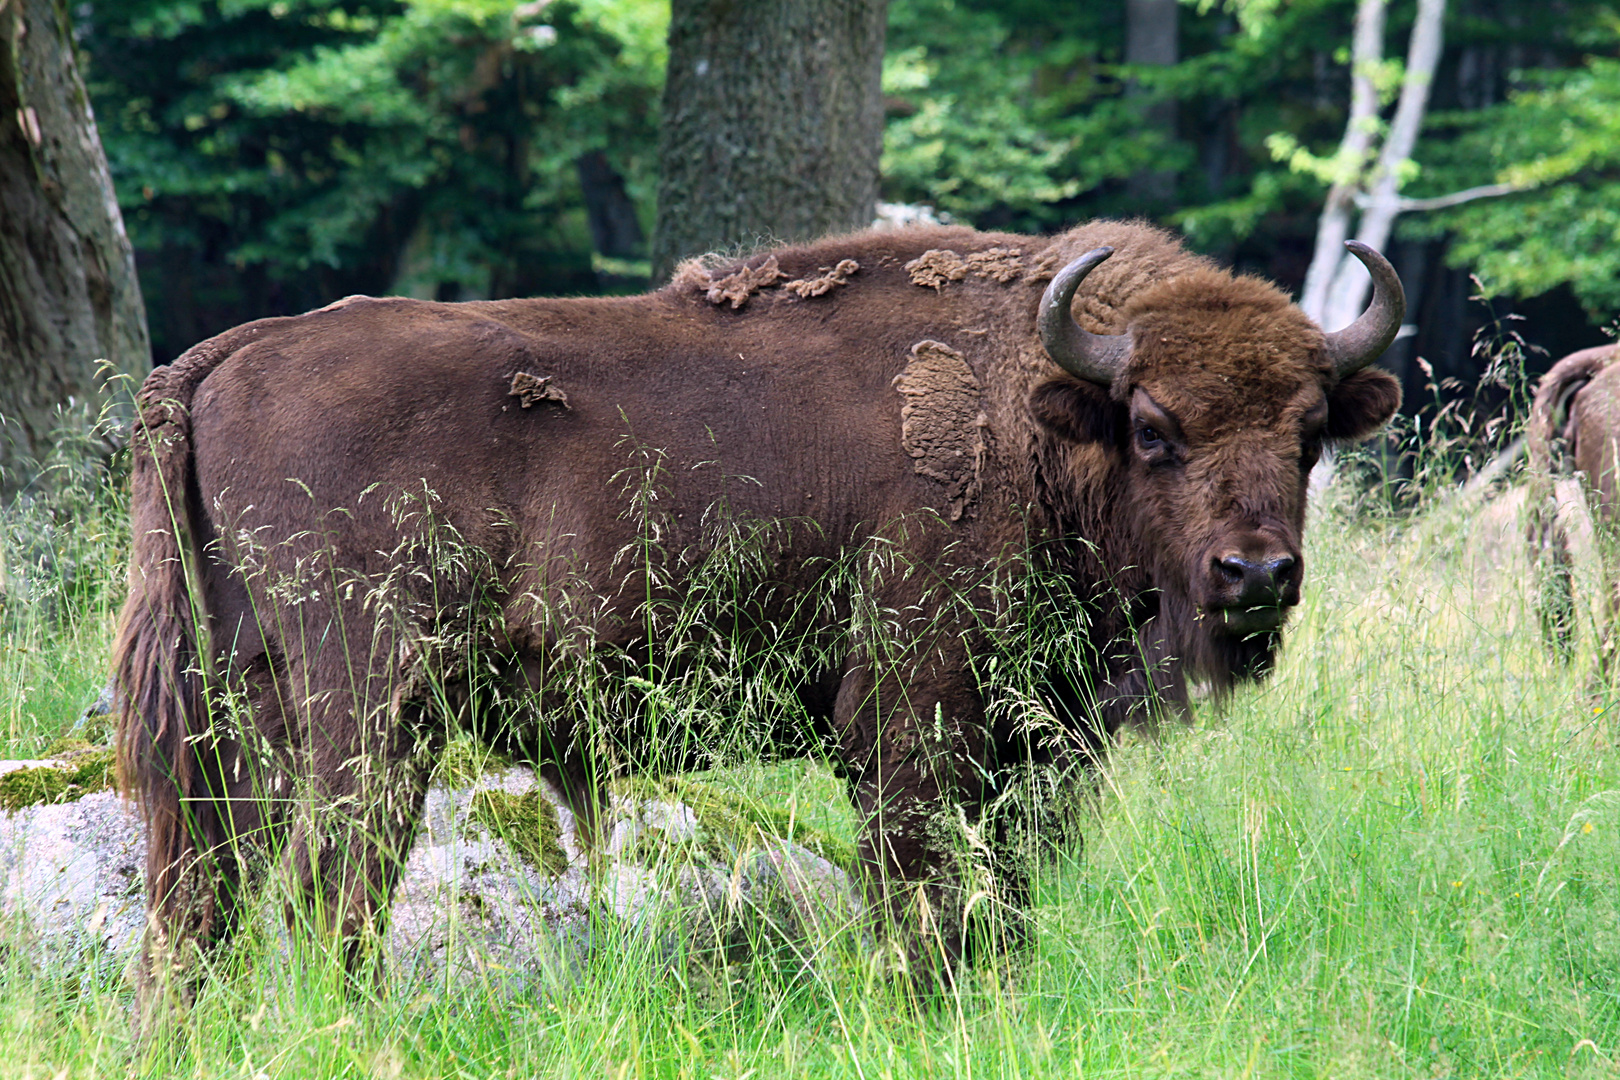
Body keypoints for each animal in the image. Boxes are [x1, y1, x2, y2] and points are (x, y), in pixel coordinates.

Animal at [114, 220, 1406, 1029]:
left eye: (1309, 433)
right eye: (1153, 427)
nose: (1256, 572)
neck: (1033, 425)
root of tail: (217, 359)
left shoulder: (1036, 750)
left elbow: (1004, 903)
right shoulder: (913, 725)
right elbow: (922, 897)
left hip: (235, 715)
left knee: (202, 898)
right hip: (366, 709)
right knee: (328, 887)